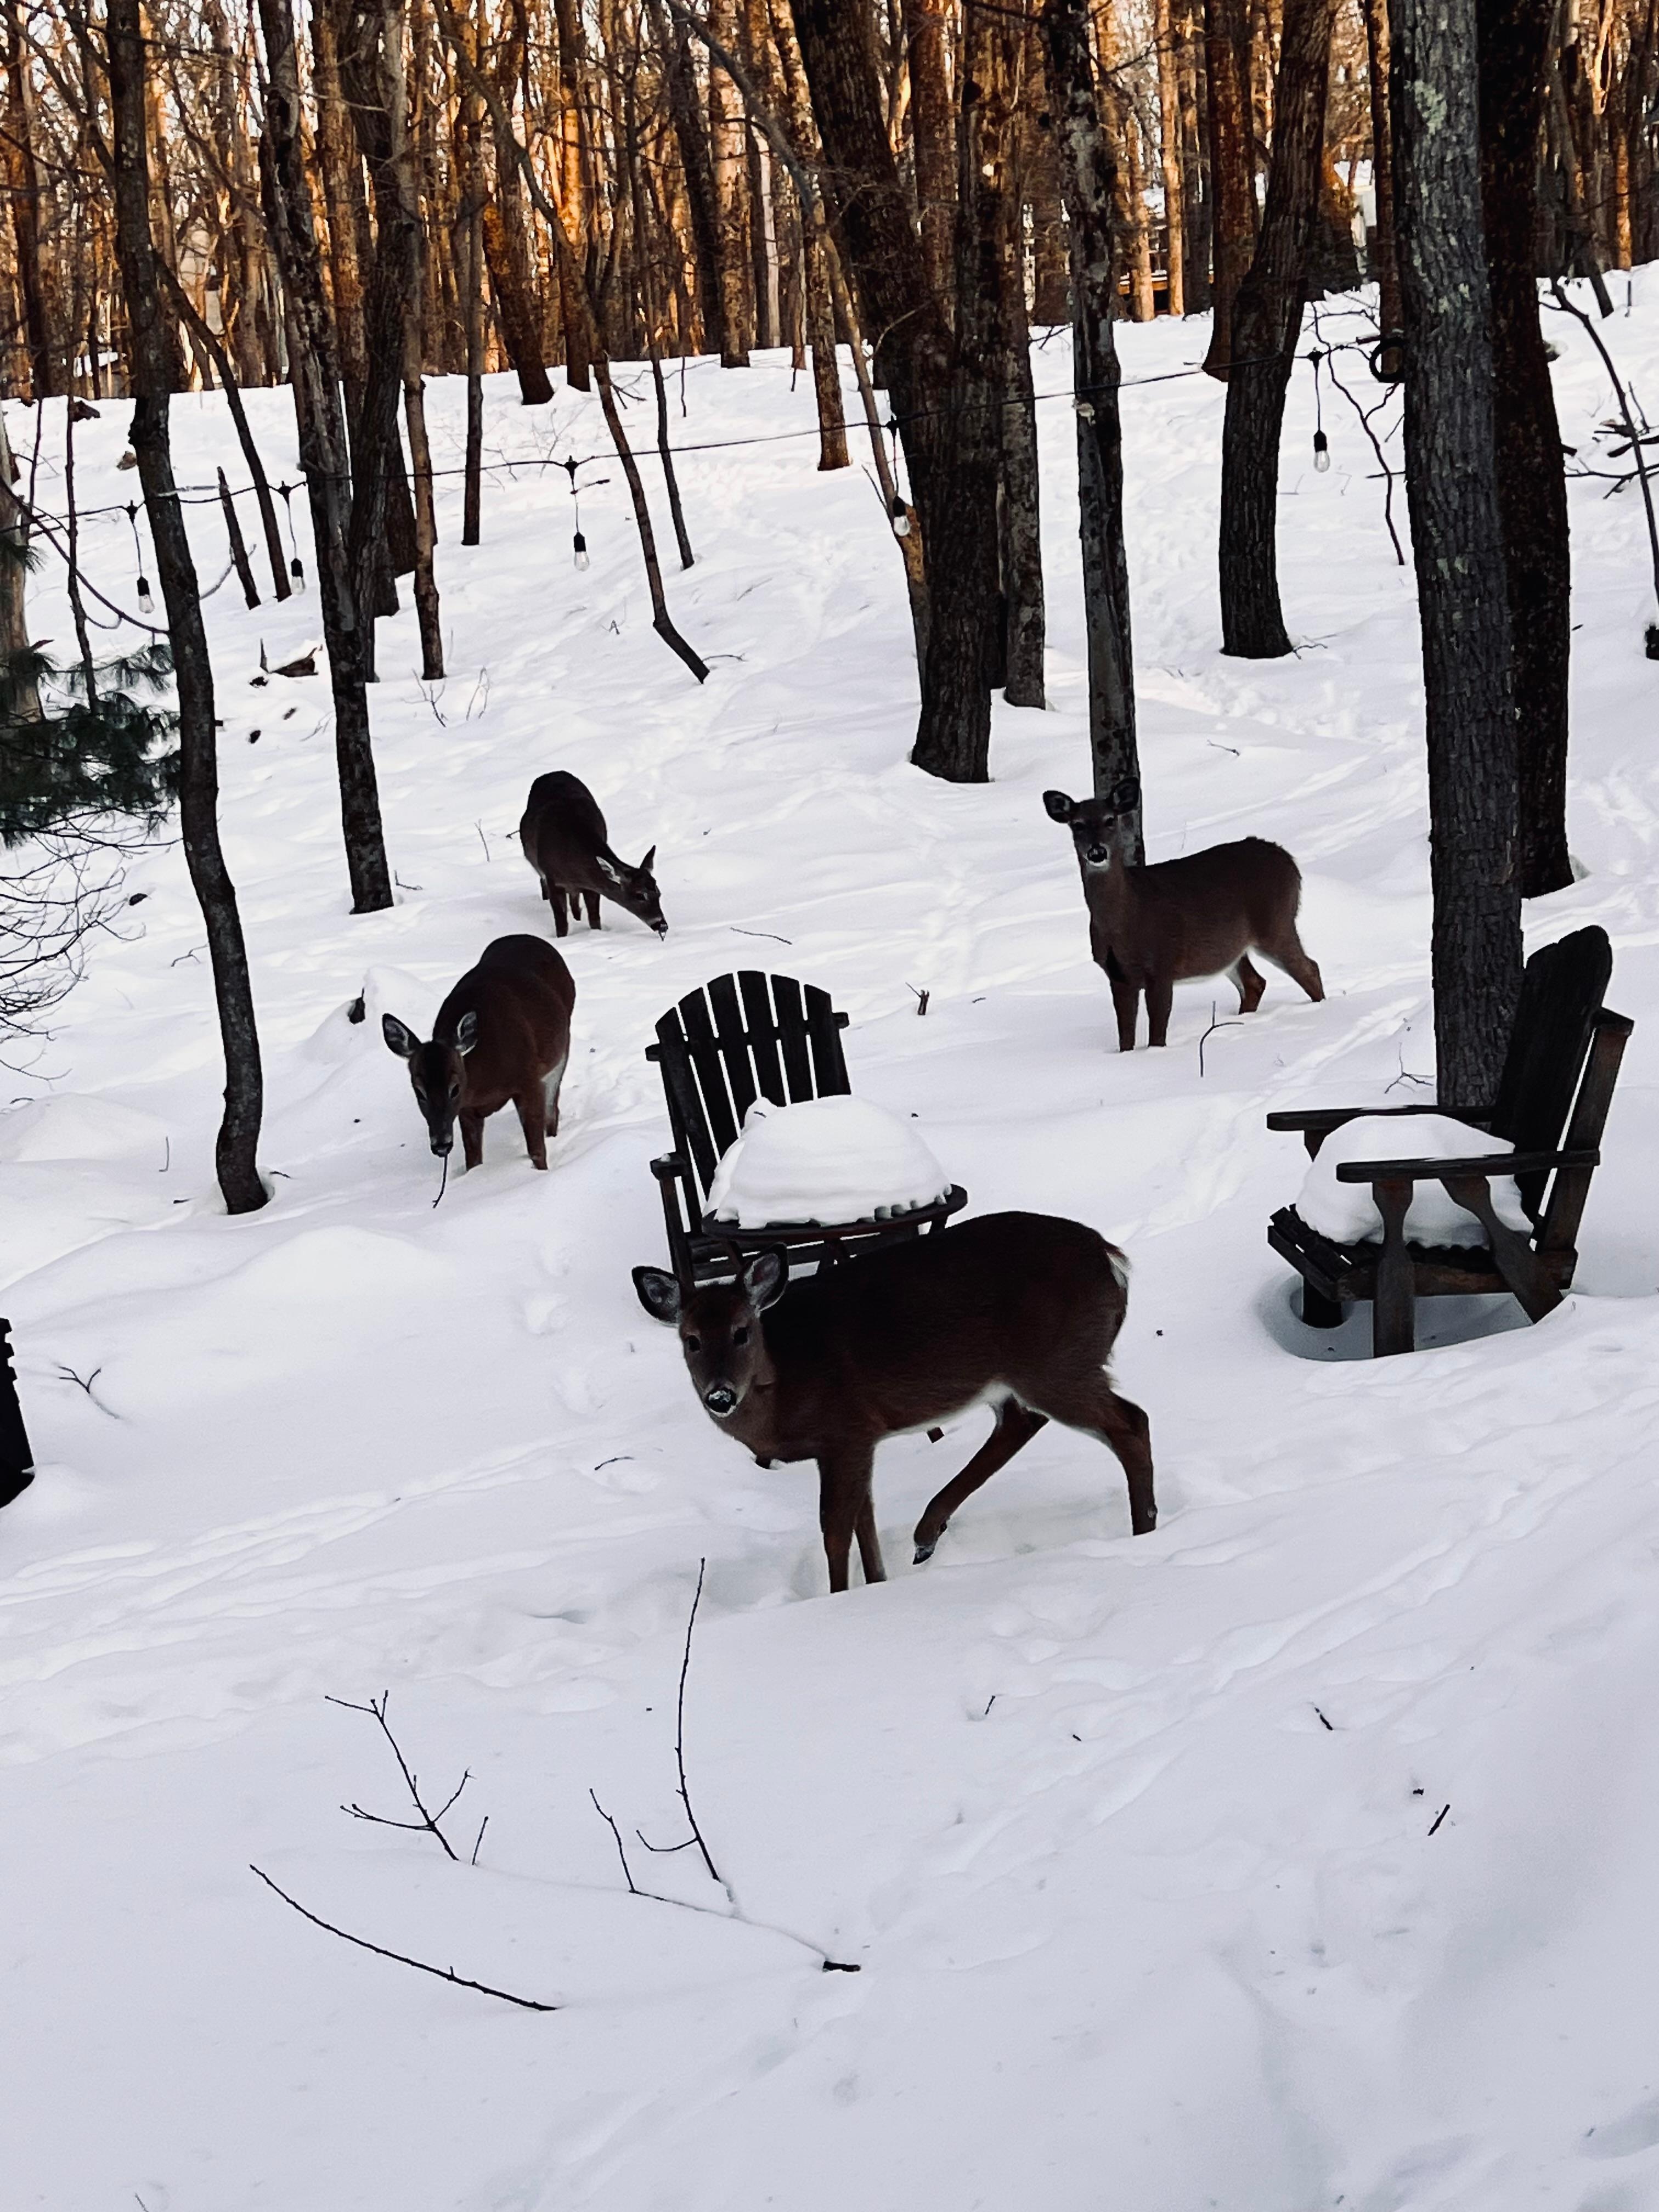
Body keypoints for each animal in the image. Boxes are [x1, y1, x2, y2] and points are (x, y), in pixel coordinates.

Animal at [382, 935, 576, 1171]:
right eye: (419, 1092)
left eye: (455, 1088)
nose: (441, 1145)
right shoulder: (467, 1109)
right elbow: (473, 1160)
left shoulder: (529, 1080)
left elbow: (537, 1151)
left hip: (561, 1051)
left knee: (553, 1110)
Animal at [518, 769, 666, 939]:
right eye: (640, 895)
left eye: (659, 893)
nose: (662, 924)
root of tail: (552, 773)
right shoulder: (553, 879)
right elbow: (561, 922)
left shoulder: (590, 885)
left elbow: (594, 918)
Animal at [633, 1211, 1154, 1595]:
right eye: (691, 1340)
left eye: (742, 1332)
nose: (720, 1396)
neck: (784, 1378)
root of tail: (1113, 1260)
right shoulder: (860, 1439)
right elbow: (864, 1519)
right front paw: (877, 1585)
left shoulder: (844, 1429)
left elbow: (835, 1527)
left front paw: (838, 1599)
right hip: (1028, 1373)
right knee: (1022, 1422)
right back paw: (926, 1535)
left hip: (1057, 1361)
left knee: (1130, 1421)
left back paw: (1144, 1531)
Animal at [1044, 777, 1324, 1049]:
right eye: (1077, 825)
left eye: (1110, 820)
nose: (1097, 852)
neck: (1125, 920)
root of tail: (1289, 860)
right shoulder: (1117, 976)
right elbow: (1126, 1039)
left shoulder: (1162, 964)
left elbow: (1157, 1036)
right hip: (1233, 948)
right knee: (1255, 982)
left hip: (1276, 921)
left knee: (1309, 968)